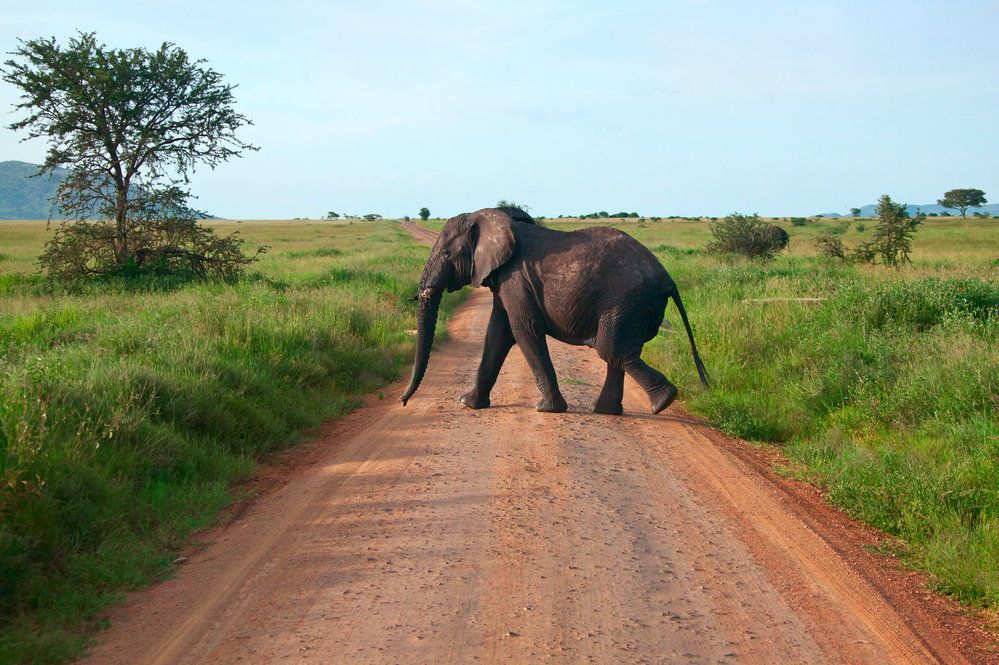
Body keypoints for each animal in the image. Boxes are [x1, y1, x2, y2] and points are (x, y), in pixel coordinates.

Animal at [400, 208, 712, 416]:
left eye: (446, 255)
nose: (403, 402)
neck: (490, 217)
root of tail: (667, 277)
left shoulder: (515, 277)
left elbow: (523, 330)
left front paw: (547, 409)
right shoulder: (505, 280)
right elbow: (497, 334)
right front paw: (468, 404)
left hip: (626, 301)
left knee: (613, 351)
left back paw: (663, 401)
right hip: (630, 306)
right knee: (617, 352)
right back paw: (610, 411)